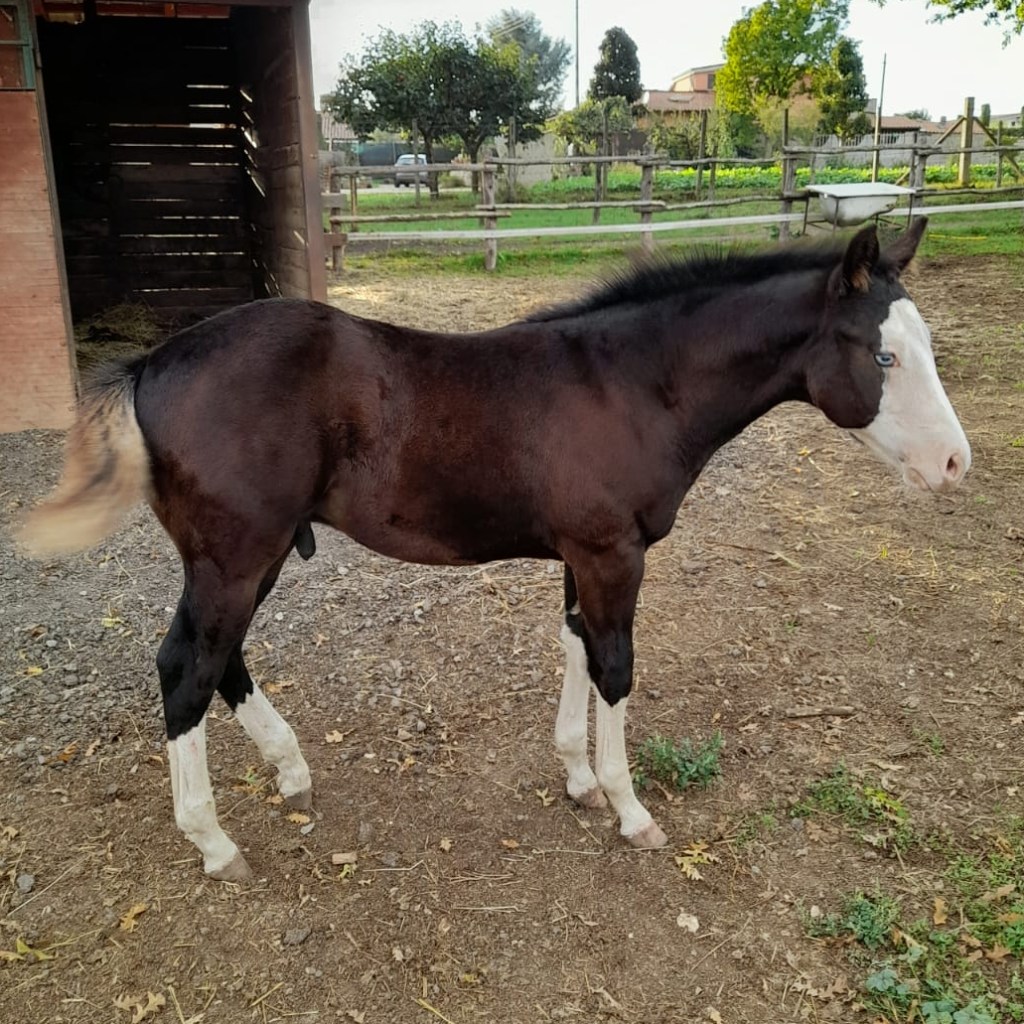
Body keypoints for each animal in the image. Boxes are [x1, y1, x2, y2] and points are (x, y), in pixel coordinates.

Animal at [17, 218, 970, 881]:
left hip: (249, 557)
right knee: (186, 667)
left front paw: (579, 778)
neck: (632, 383)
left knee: (222, 659)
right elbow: (615, 667)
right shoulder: (614, 553)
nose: (955, 464)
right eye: (881, 353)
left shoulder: (582, 554)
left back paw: (289, 771)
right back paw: (215, 843)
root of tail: (151, 362)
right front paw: (629, 809)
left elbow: (575, 648)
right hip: (234, 557)